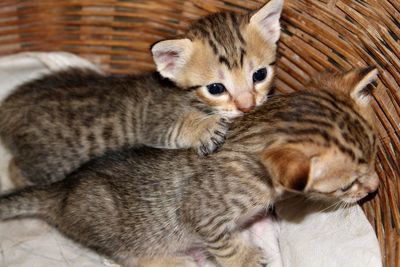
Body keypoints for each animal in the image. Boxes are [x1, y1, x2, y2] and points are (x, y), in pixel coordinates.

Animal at [0, 0, 282, 186]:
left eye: (259, 75)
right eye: (216, 88)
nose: (247, 106)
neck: (187, 97)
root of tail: (11, 105)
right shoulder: (153, 122)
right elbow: (172, 126)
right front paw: (203, 128)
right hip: (52, 164)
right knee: (17, 169)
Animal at [0, 68, 382, 266]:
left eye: (375, 156)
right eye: (347, 184)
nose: (375, 187)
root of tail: (61, 189)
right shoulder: (203, 215)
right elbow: (227, 246)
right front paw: (248, 260)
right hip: (114, 230)